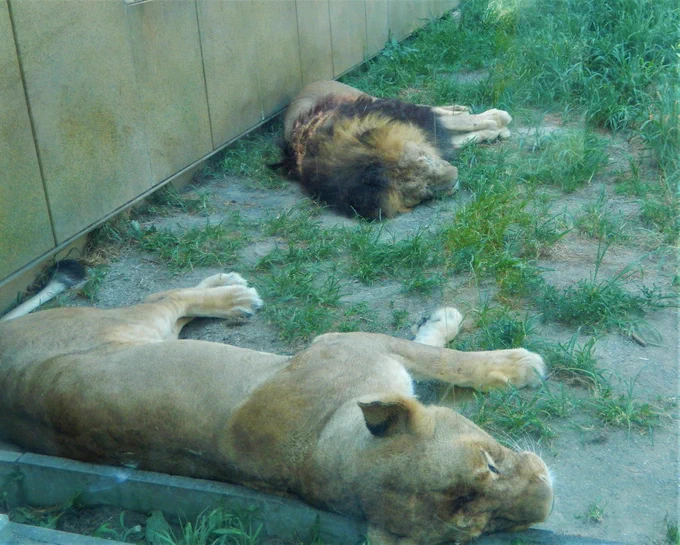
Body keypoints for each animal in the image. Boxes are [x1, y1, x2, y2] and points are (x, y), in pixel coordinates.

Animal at [1, 274, 552, 540]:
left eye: (495, 523)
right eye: (490, 465)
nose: (547, 501)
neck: (322, 444)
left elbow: (430, 361)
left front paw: (442, 324)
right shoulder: (350, 342)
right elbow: (444, 359)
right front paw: (516, 363)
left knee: (176, 309)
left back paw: (227, 285)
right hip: (123, 325)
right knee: (166, 298)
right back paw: (233, 293)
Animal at [276, 79, 510, 218]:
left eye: (424, 158)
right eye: (425, 190)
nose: (455, 176)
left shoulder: (404, 114)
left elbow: (458, 122)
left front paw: (497, 119)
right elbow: (458, 135)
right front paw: (494, 128)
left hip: (373, 98)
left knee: (438, 109)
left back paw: (465, 108)